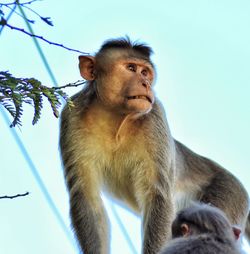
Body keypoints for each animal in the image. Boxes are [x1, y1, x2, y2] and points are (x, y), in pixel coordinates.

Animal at [59, 37, 250, 254]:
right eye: (131, 68)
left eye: (145, 72)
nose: (146, 84)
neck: (115, 118)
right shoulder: (71, 116)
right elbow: (85, 195)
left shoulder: (154, 116)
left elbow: (157, 195)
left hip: (229, 193)